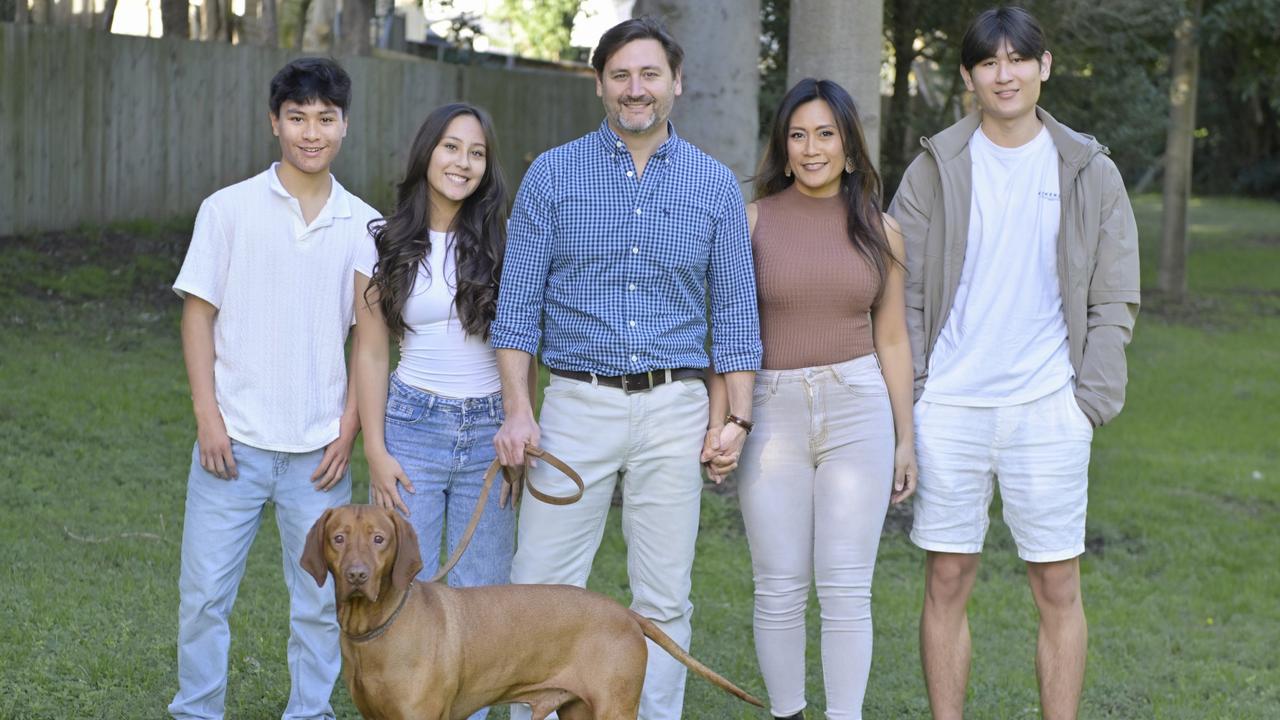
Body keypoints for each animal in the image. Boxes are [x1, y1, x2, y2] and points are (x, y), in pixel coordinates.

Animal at [299, 502, 757, 717]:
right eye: (339, 538)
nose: (357, 575)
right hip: (578, 711)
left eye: (379, 540)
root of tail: (626, 613)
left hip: (614, 708)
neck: (373, 630)